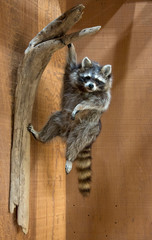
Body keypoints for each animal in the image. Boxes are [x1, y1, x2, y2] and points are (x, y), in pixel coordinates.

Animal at [27, 43, 112, 197]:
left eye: (97, 80)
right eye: (87, 78)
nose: (91, 85)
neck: (86, 90)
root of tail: (67, 132)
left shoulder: (103, 96)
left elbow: (97, 103)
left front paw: (80, 105)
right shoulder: (71, 76)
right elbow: (70, 66)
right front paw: (70, 46)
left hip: (89, 128)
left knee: (78, 139)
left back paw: (70, 157)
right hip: (64, 119)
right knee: (54, 120)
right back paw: (41, 136)